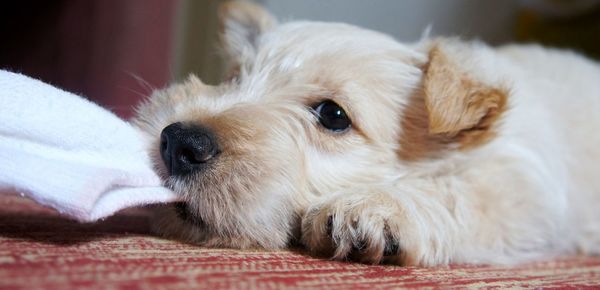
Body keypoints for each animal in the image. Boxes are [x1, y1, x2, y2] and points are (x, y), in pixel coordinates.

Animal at [132, 1, 600, 266]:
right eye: (233, 77)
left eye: (334, 115)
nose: (178, 142)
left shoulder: (524, 190)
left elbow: (462, 193)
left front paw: (378, 207)